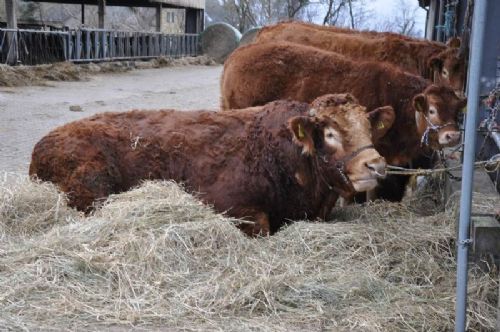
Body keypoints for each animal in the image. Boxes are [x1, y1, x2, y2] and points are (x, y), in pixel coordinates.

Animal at [29, 93, 394, 236]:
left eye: (368, 128)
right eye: (330, 133)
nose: (377, 165)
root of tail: (44, 142)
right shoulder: (230, 205)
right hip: (90, 186)